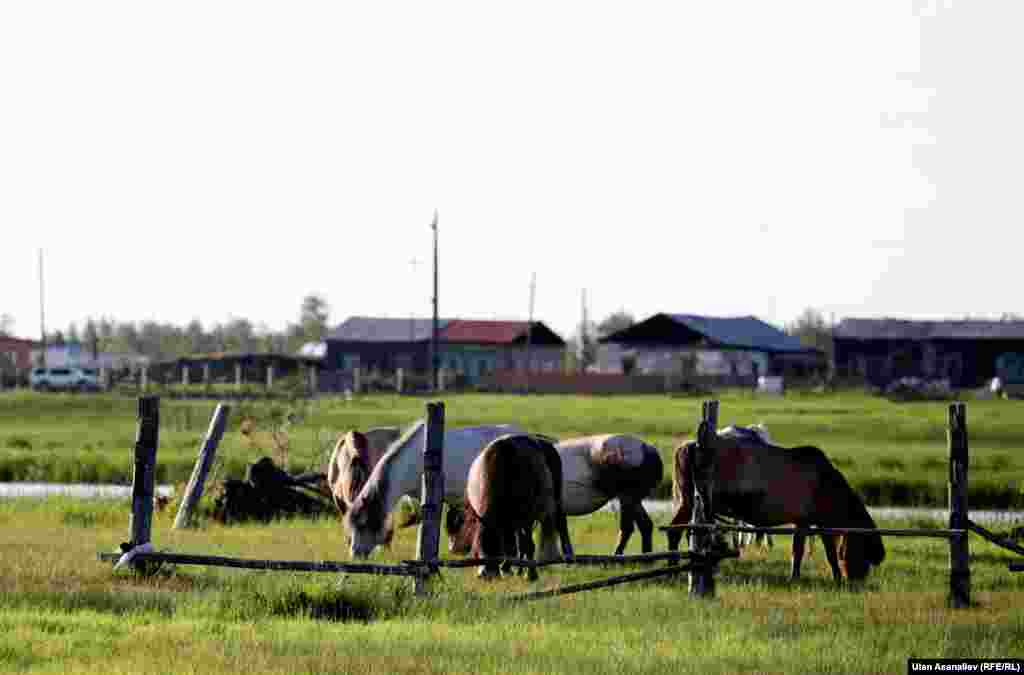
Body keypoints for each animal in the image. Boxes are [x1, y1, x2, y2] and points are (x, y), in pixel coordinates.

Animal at [446, 438, 577, 581]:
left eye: (496, 547)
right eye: (477, 546)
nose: (486, 575)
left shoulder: (526, 518)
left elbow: (527, 545)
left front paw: (531, 574)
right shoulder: (507, 520)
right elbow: (513, 546)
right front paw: (508, 568)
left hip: (553, 502)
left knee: (560, 524)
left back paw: (568, 558)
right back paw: (517, 569)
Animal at [667, 432, 884, 585]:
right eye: (864, 554)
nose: (857, 580)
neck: (827, 487)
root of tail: (687, 447)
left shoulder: (807, 522)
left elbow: (810, 551)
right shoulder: (811, 522)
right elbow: (809, 552)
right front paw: (804, 577)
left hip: (686, 500)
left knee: (676, 531)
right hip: (690, 501)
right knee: (676, 531)